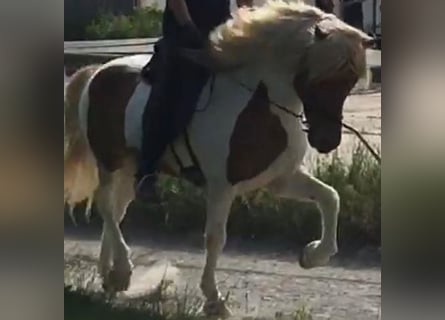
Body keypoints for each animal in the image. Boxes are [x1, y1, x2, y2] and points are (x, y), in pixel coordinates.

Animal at [64, 0, 372, 318]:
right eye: (320, 79)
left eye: (349, 82)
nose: (327, 142)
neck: (257, 104)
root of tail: (99, 70)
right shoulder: (221, 186)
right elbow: (215, 238)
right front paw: (214, 300)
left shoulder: (280, 179)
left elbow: (330, 197)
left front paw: (313, 256)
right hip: (108, 160)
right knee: (106, 206)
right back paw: (123, 271)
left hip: (129, 169)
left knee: (116, 210)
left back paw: (110, 275)